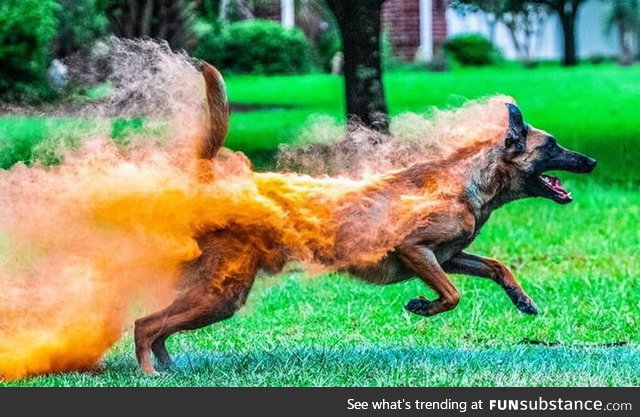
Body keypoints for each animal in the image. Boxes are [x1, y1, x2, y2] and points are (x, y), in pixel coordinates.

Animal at [132, 62, 596, 374]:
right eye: (552, 145)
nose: (591, 161)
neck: (471, 184)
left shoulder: (448, 258)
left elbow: (497, 266)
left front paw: (522, 299)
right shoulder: (415, 250)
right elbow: (452, 296)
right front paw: (423, 306)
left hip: (215, 294)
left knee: (159, 326)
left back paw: (168, 367)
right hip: (220, 295)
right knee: (144, 324)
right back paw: (150, 373)